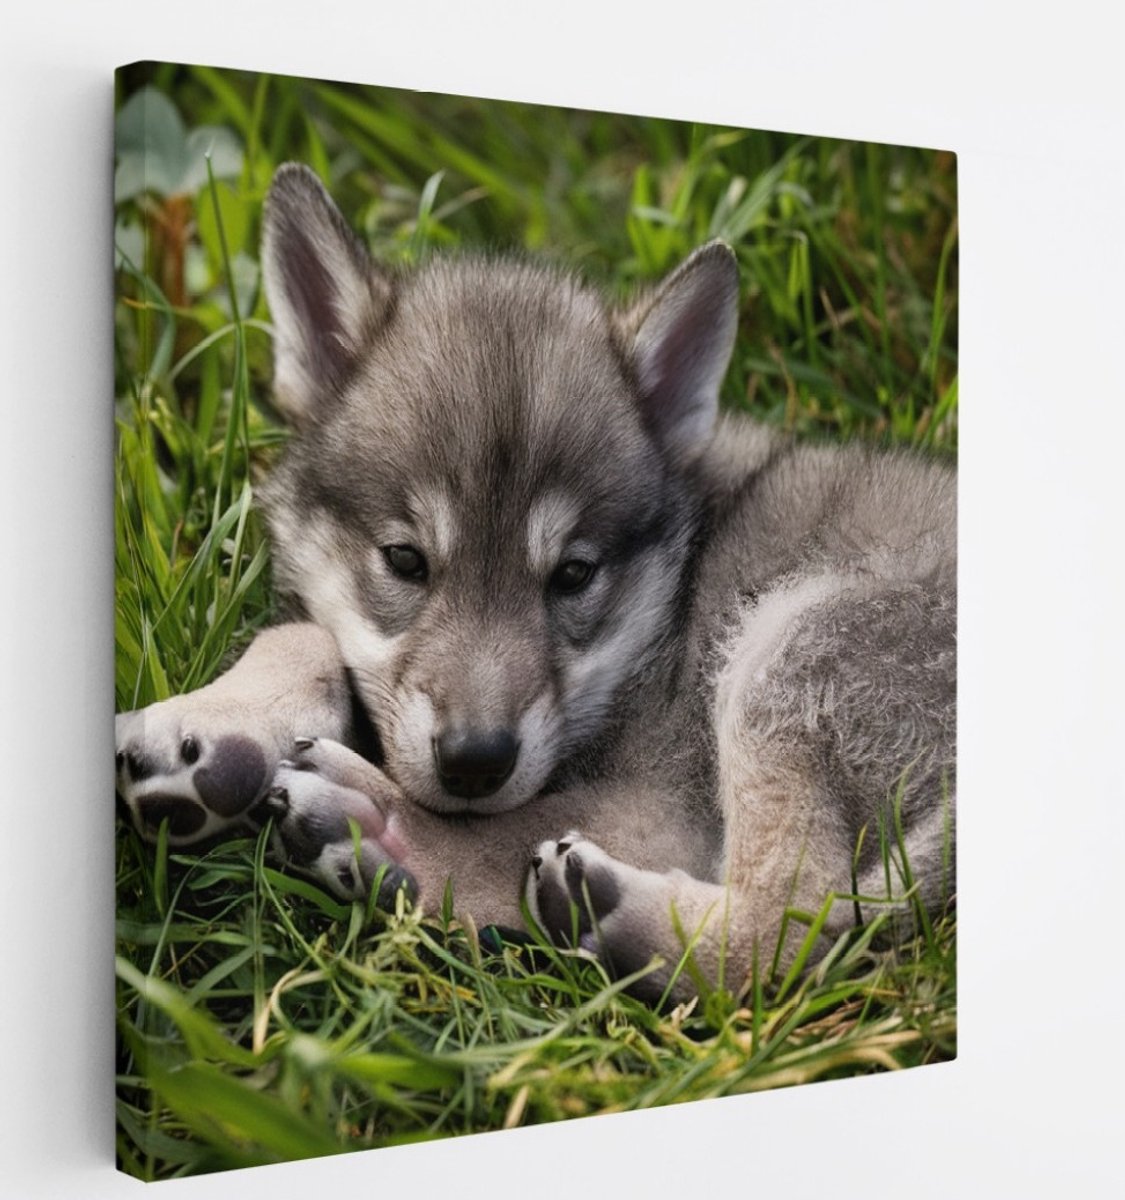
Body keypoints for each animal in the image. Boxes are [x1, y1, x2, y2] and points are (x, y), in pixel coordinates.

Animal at [115, 163, 955, 1000]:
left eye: (573, 574)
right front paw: (214, 722)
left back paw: (422, 848)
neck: (670, 606)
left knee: (794, 920)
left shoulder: (661, 803)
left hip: (793, 648)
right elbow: (304, 631)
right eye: (404, 560)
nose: (475, 762)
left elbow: (502, 830)